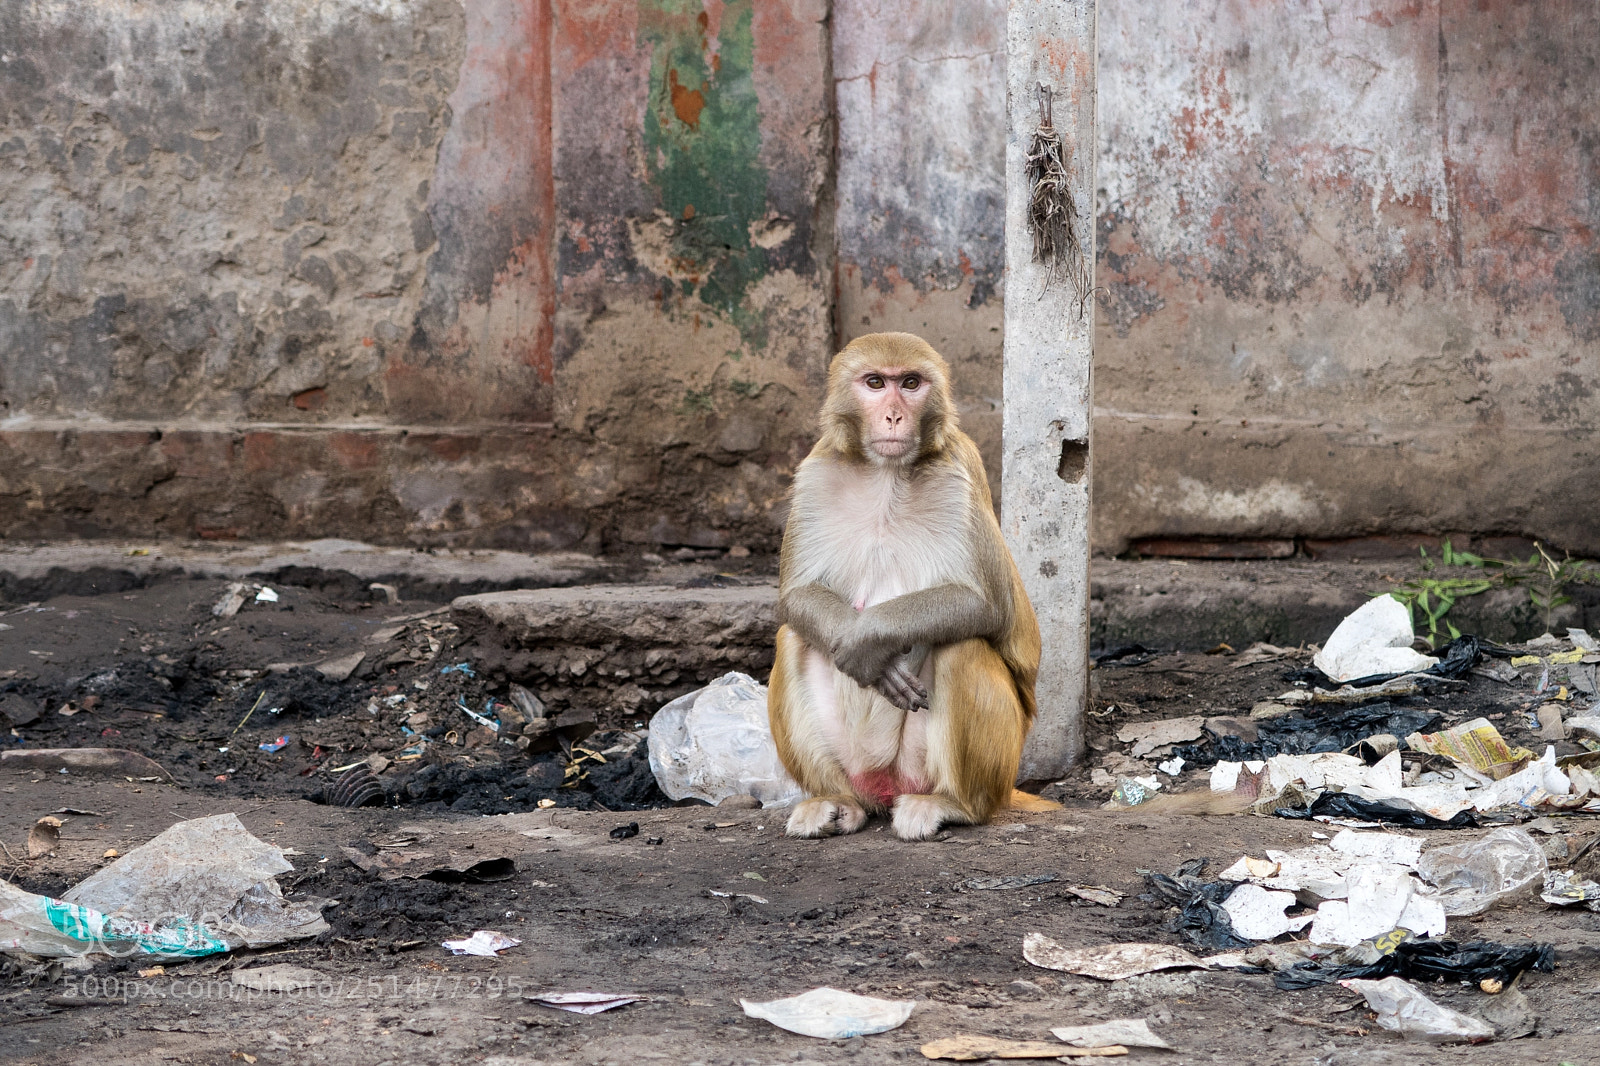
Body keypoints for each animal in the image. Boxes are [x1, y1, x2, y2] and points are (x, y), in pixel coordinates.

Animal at [767, 332, 1057, 842]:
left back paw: (954, 804)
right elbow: (796, 597)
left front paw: (870, 639)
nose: (893, 416)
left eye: (911, 383)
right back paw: (836, 802)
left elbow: (984, 605)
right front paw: (863, 647)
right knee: (793, 639)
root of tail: (884, 787)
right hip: (857, 765)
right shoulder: (815, 473)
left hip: (989, 763)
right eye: (875, 383)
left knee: (962, 647)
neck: (886, 473)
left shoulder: (960, 472)